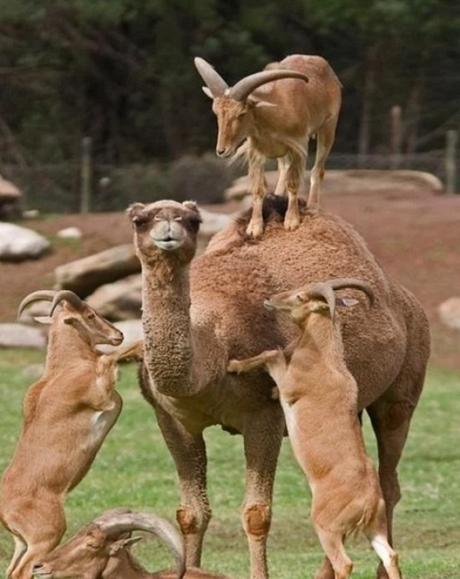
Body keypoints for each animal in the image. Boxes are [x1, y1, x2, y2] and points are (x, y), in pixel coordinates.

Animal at [0, 292, 140, 576]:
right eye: (90, 314)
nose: (118, 334)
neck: (65, 368)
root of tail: (5, 512)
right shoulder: (101, 394)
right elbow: (110, 359)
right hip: (45, 537)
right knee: (22, 571)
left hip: (22, 543)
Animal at [194, 53, 342, 236]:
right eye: (216, 112)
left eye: (241, 113)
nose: (222, 150)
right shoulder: (256, 152)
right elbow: (258, 188)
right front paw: (254, 227)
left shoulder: (298, 146)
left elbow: (293, 183)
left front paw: (291, 221)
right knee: (284, 169)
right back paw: (277, 196)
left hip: (328, 128)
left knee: (317, 170)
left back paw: (313, 207)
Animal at [228, 278, 400, 576]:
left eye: (300, 296)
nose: (270, 299)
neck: (324, 360)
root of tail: (368, 502)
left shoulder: (290, 383)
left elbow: (272, 354)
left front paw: (234, 365)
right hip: (375, 528)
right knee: (390, 555)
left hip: (326, 527)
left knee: (345, 563)